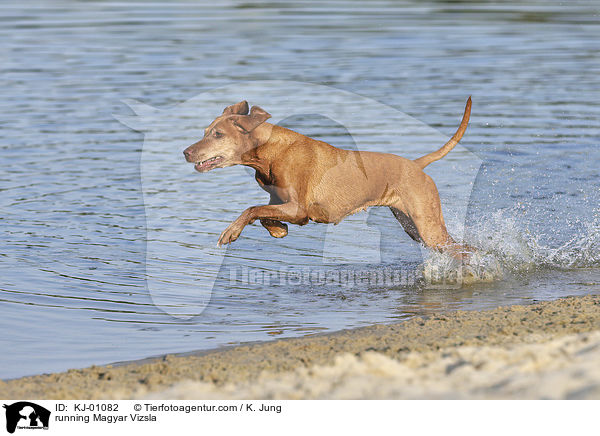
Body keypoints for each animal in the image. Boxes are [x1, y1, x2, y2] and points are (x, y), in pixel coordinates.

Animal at [183, 97, 474, 258]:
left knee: (464, 250)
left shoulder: (298, 209)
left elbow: (251, 208)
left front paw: (230, 231)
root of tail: (415, 165)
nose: (186, 152)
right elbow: (262, 213)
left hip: (428, 226)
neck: (269, 152)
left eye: (218, 134)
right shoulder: (279, 202)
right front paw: (278, 229)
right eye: (205, 131)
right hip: (412, 226)